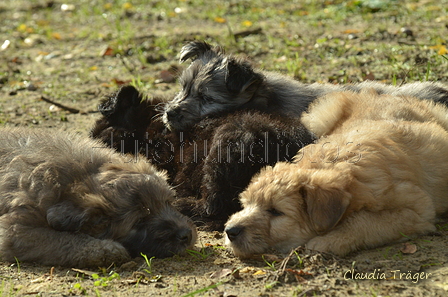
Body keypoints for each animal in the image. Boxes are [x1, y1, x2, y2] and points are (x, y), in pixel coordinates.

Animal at [0, 127, 196, 266]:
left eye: (168, 202)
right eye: (139, 221)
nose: (186, 235)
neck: (77, 177)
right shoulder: (15, 230)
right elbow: (58, 239)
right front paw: (106, 250)